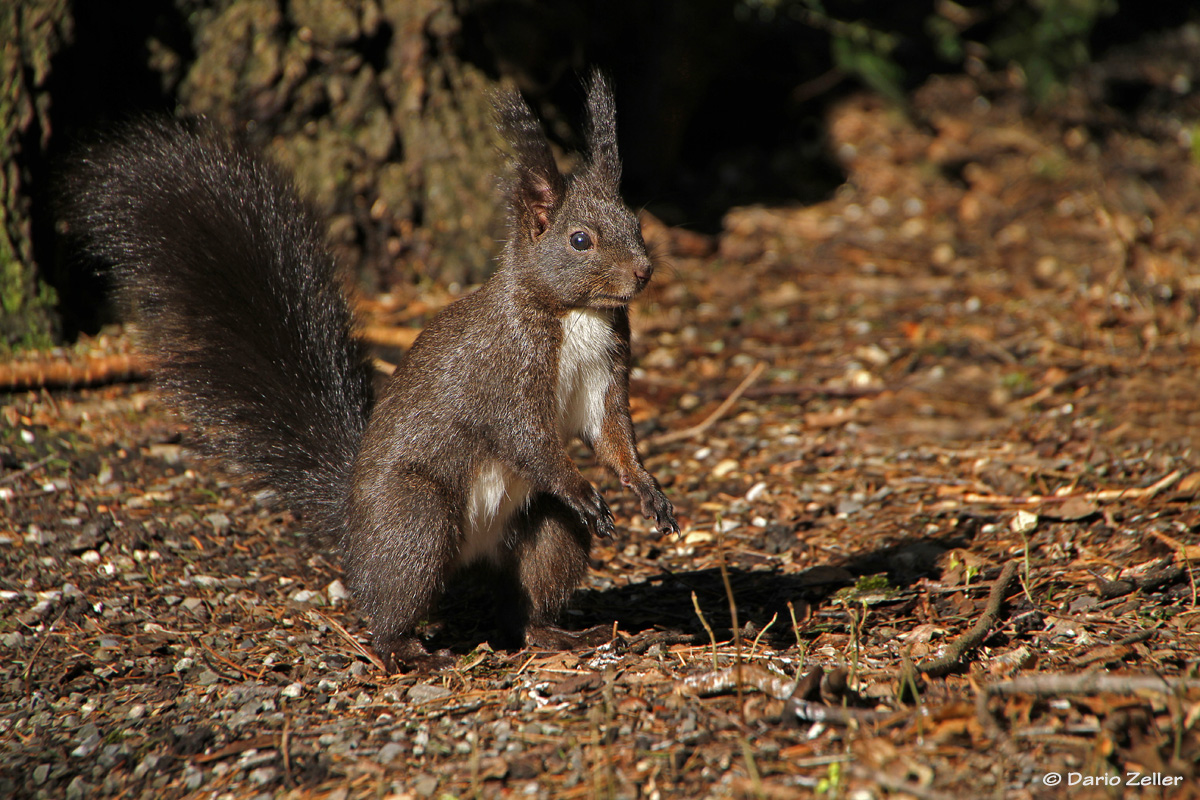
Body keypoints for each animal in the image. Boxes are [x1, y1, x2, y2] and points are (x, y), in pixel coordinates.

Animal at [60, 73, 681, 671]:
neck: (574, 313)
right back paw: (409, 652)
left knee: (529, 598)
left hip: (540, 528)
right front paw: (585, 488)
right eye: (580, 240)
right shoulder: (502, 370)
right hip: (416, 518)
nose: (644, 272)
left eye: (635, 223)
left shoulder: (606, 369)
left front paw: (647, 490)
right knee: (389, 607)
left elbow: (611, 433)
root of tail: (353, 522)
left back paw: (561, 634)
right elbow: (525, 436)